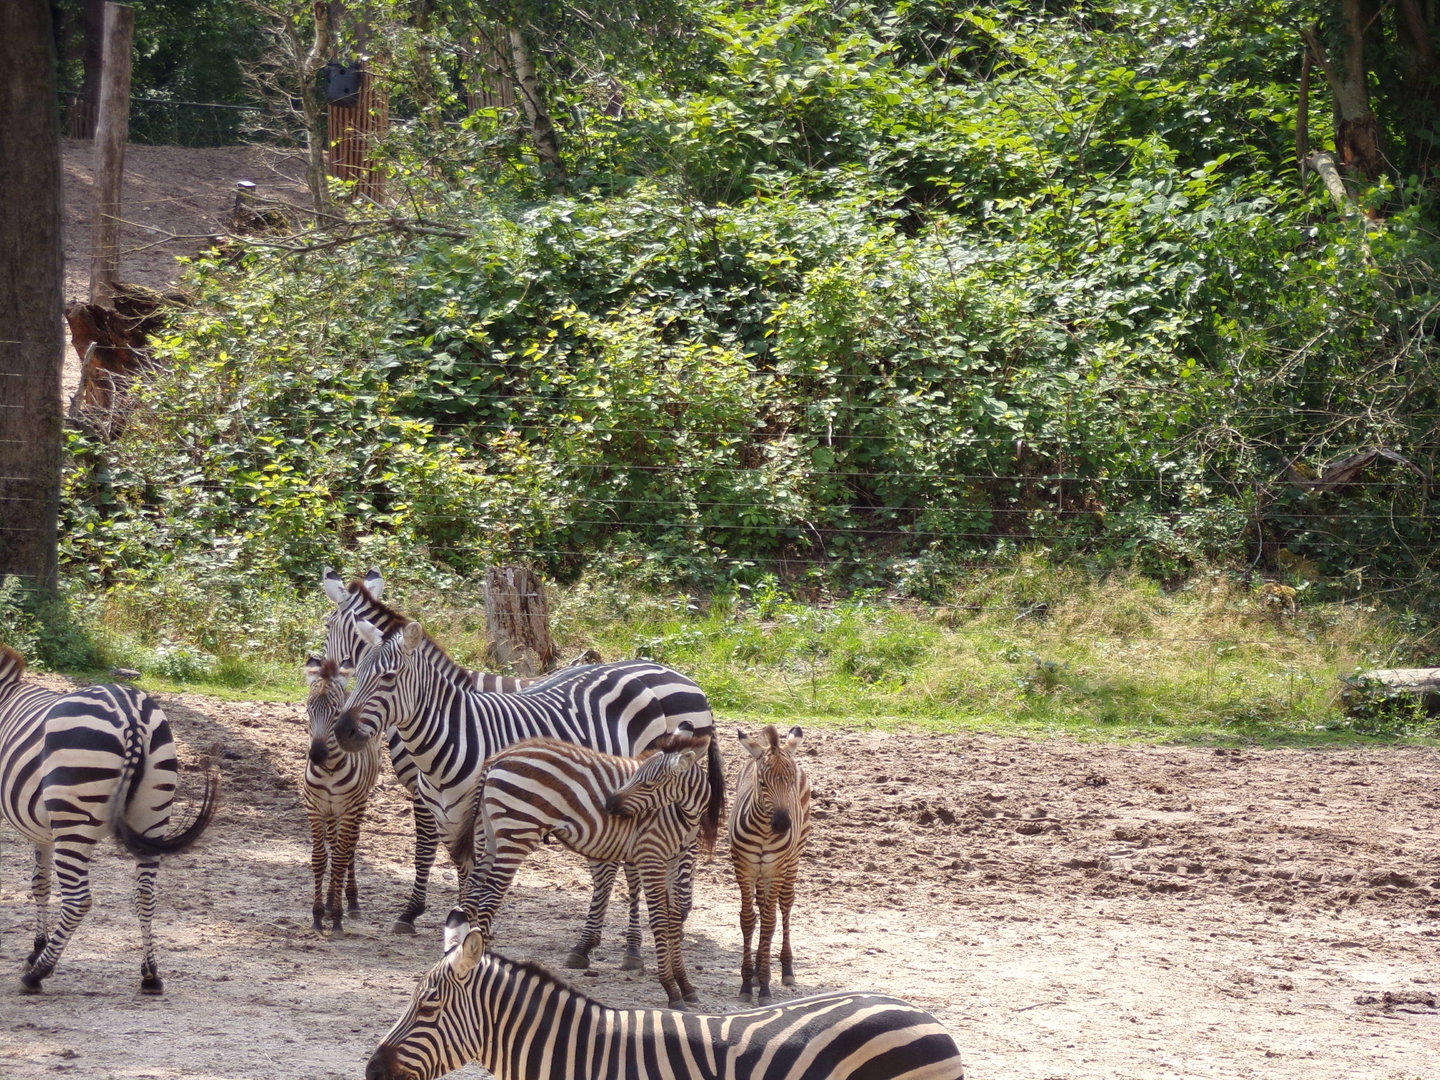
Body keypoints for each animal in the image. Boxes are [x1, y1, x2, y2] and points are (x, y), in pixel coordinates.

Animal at [0, 645, 218, 993]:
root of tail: (131, 715)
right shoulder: (42, 831)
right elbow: (40, 884)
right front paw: (36, 947)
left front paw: (36, 954)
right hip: (152, 814)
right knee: (146, 894)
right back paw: (150, 974)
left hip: (73, 816)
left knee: (78, 900)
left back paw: (38, 975)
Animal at [302, 655, 382, 933]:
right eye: (308, 710)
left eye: (336, 712)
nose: (316, 755)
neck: (329, 769)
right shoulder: (315, 808)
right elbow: (319, 858)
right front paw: (318, 914)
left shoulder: (348, 809)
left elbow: (339, 858)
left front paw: (337, 916)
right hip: (331, 811)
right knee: (337, 843)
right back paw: (328, 901)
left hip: (359, 804)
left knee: (349, 847)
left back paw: (351, 901)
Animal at [333, 611, 725, 971]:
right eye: (356, 672)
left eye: (388, 677)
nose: (343, 733)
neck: (454, 738)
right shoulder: (450, 819)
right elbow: (460, 877)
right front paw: (457, 934)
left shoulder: (482, 821)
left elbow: (478, 883)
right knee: (611, 868)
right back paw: (587, 947)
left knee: (645, 866)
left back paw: (634, 948)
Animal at [444, 727, 716, 1009]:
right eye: (635, 777)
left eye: (649, 784)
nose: (609, 805)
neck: (681, 812)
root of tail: (500, 756)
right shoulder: (650, 856)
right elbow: (660, 921)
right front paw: (671, 989)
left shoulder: (673, 860)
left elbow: (672, 921)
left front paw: (685, 984)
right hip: (516, 831)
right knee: (491, 895)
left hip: (491, 834)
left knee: (474, 891)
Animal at [729, 725, 811, 1003]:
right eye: (763, 783)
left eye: (790, 781)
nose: (783, 824)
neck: (765, 831)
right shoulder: (744, 868)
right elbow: (748, 919)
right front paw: (747, 982)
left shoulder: (776, 870)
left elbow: (769, 922)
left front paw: (764, 986)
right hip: (760, 873)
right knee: (763, 906)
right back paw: (755, 972)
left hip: (792, 860)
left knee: (784, 906)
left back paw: (786, 969)